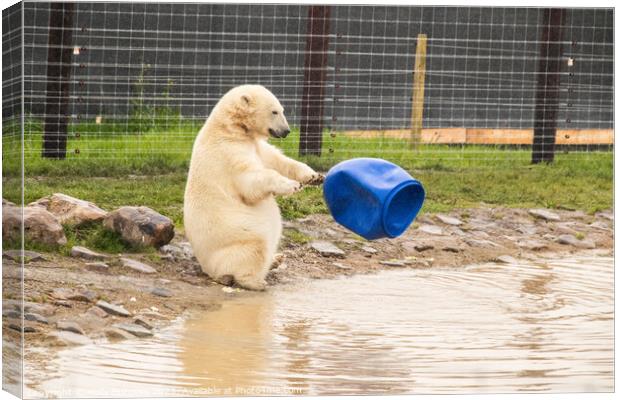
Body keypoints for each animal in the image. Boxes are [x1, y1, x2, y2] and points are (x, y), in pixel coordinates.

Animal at [183, 85, 322, 290]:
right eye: (274, 111)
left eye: (282, 110)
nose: (286, 130)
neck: (229, 128)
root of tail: (208, 268)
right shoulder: (229, 153)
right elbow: (250, 181)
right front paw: (292, 186)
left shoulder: (255, 146)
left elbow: (277, 160)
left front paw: (314, 176)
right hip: (238, 237)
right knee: (255, 248)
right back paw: (255, 281)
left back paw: (277, 259)